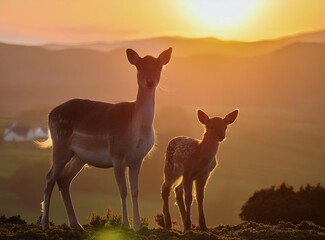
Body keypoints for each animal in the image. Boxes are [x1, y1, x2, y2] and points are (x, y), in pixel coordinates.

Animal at [38, 47, 172, 231]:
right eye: (139, 66)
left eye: (159, 67)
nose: (150, 81)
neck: (136, 131)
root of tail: (50, 114)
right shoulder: (117, 156)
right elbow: (123, 190)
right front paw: (125, 225)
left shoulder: (138, 159)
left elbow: (135, 190)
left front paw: (138, 226)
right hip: (60, 145)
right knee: (49, 177)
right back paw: (45, 223)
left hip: (79, 157)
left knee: (63, 180)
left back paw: (76, 224)